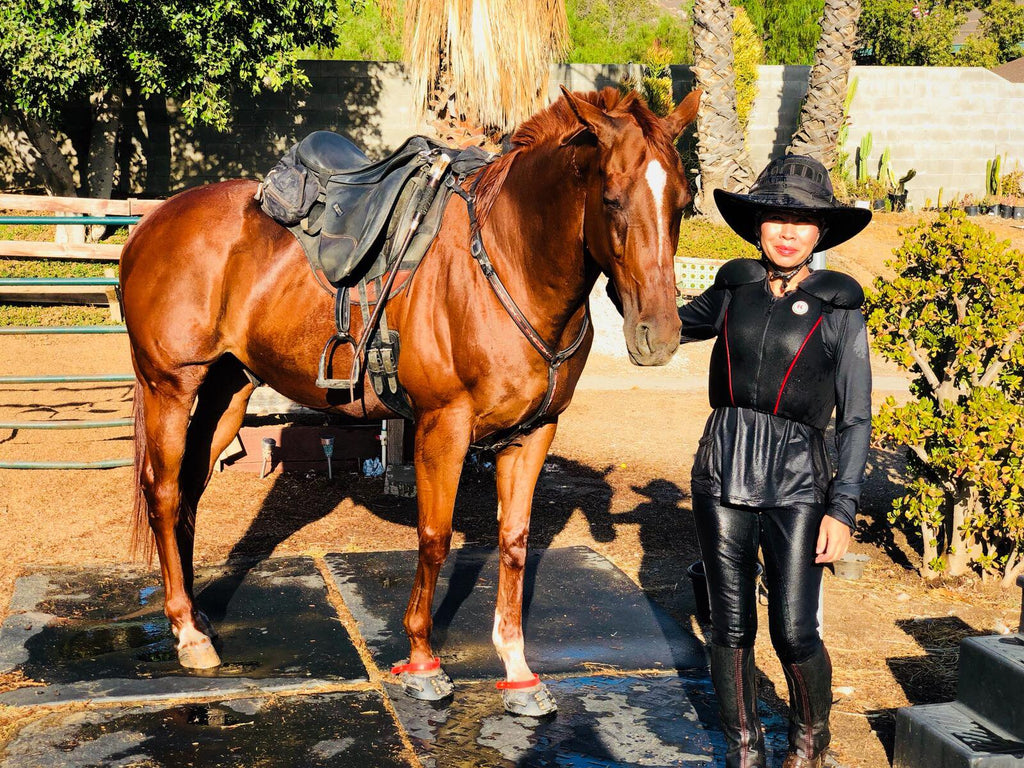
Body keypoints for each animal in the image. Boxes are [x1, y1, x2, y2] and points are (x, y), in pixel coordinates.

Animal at [117, 85, 696, 716]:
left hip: (227, 390)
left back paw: (195, 618)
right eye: (611, 199)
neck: (508, 260)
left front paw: (518, 669)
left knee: (190, 491)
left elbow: (514, 542)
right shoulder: (444, 426)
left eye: (684, 203)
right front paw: (422, 661)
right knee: (163, 493)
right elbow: (434, 538)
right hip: (171, 387)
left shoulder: (534, 432)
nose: (660, 335)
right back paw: (187, 633)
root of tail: (150, 223)